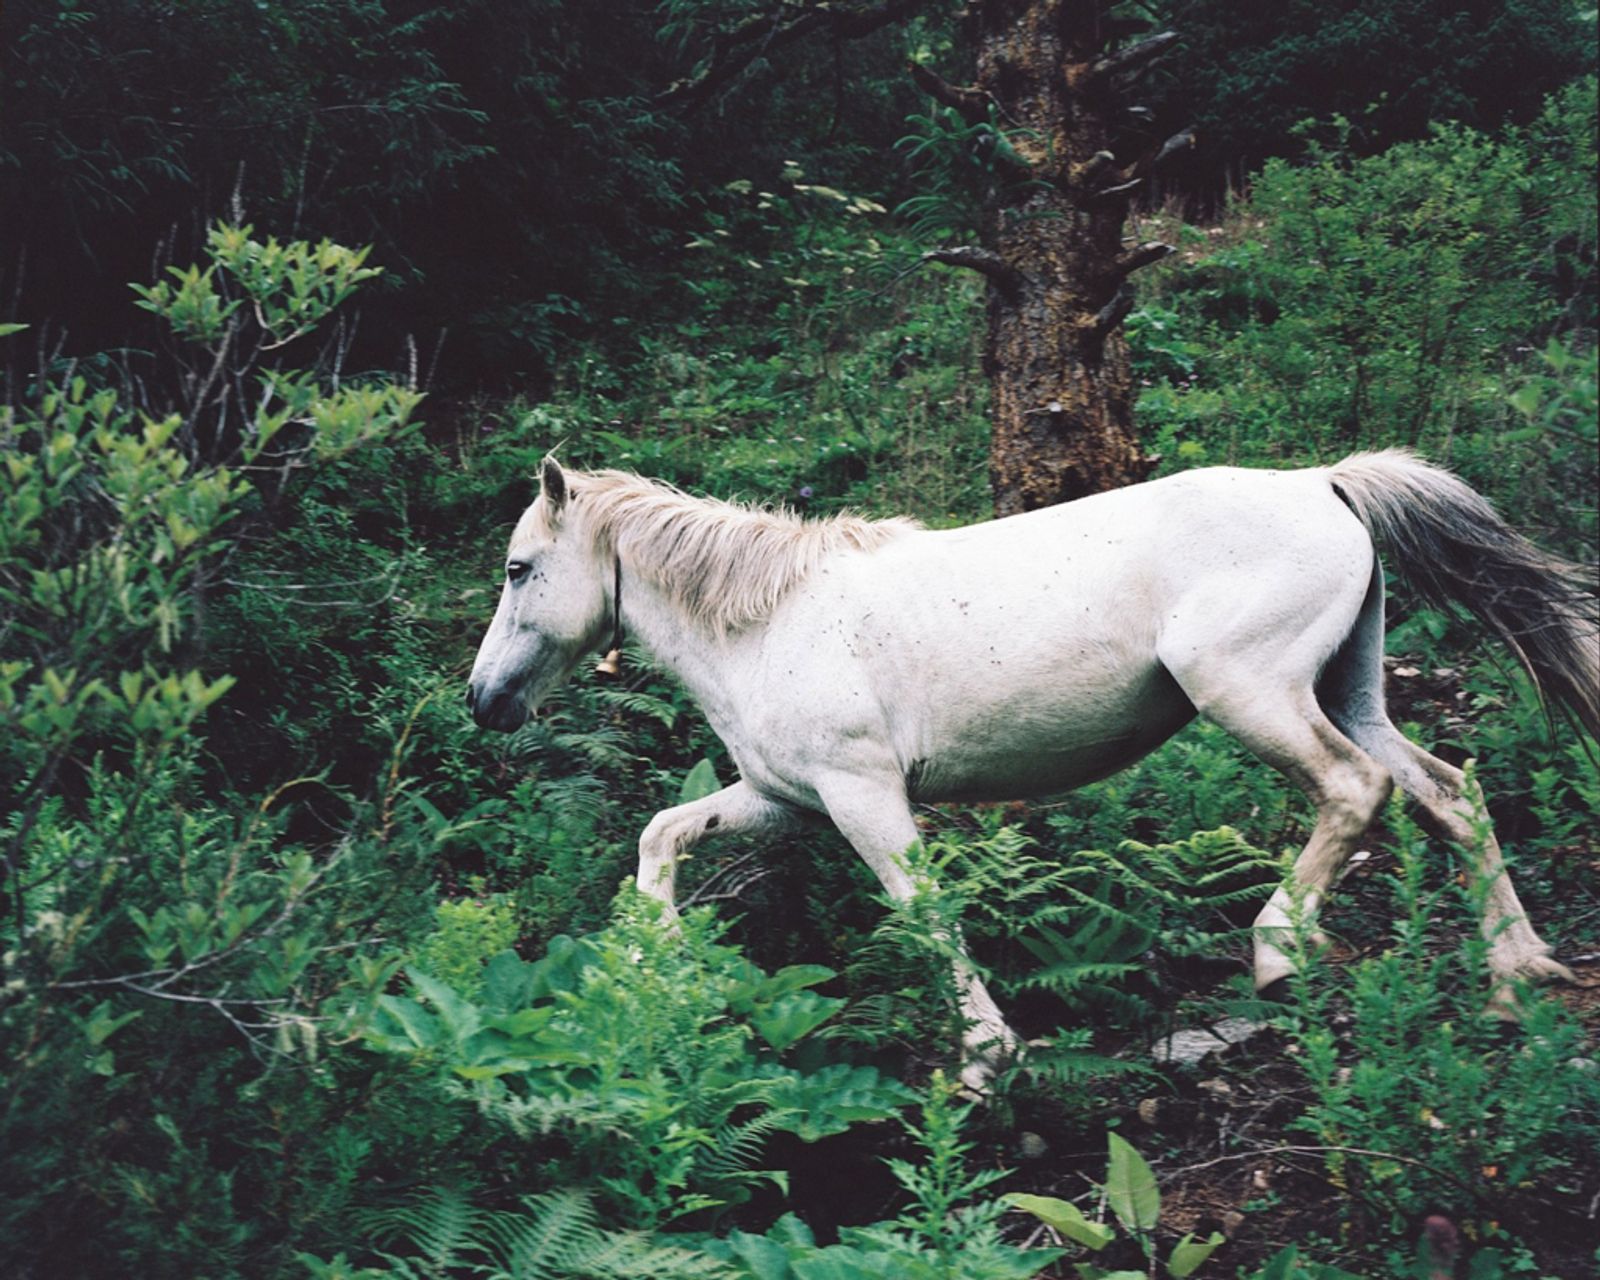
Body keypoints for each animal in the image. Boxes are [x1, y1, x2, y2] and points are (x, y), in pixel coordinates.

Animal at [467, 454, 1593, 1088]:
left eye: (519, 569)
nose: (483, 701)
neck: (770, 621)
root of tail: (1323, 482)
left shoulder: (863, 795)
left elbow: (923, 911)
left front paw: (985, 1058)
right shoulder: (785, 800)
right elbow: (661, 832)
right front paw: (652, 961)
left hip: (1253, 692)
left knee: (1356, 791)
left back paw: (1280, 949)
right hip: (1350, 689)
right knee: (1449, 795)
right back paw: (1517, 976)